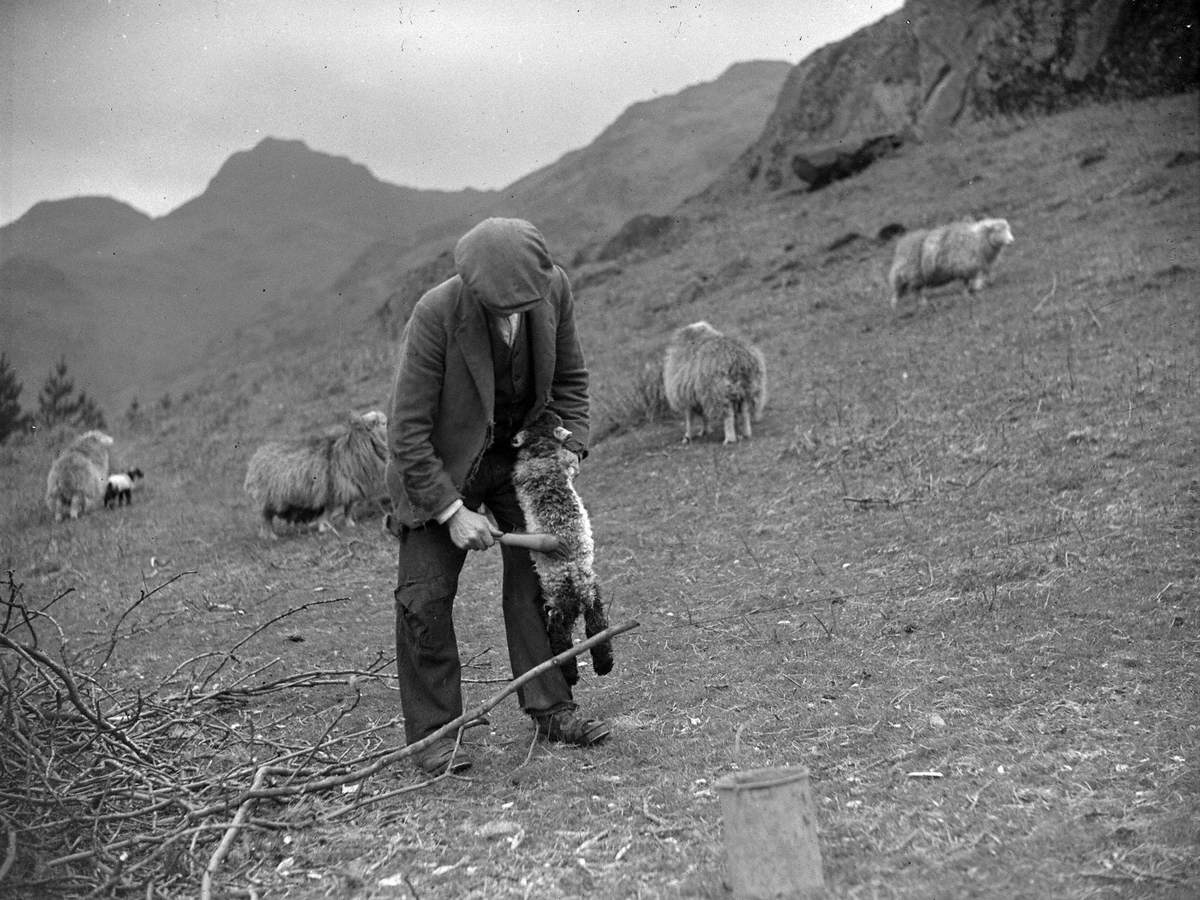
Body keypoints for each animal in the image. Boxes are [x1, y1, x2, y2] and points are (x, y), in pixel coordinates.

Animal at [243, 410, 388, 542]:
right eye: (378, 422)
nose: (388, 420)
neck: (352, 448)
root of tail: (256, 458)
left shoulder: (350, 488)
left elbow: (348, 509)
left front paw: (350, 524)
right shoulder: (332, 492)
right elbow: (328, 512)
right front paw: (324, 528)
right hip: (267, 500)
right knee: (265, 520)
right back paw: (271, 537)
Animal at [511, 412, 614, 686]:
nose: (554, 413)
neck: (543, 450)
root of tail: (574, 574)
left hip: (558, 602)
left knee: (560, 635)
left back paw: (569, 674)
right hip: (592, 592)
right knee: (597, 624)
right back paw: (604, 664)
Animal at [888, 216, 1017, 309]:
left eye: (1008, 229)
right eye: (999, 230)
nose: (1012, 241)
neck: (978, 239)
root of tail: (902, 244)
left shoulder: (972, 267)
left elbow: (967, 282)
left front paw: (967, 292)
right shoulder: (968, 265)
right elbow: (973, 280)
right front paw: (975, 289)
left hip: (911, 277)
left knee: (909, 292)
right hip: (912, 275)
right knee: (909, 292)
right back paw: (903, 306)